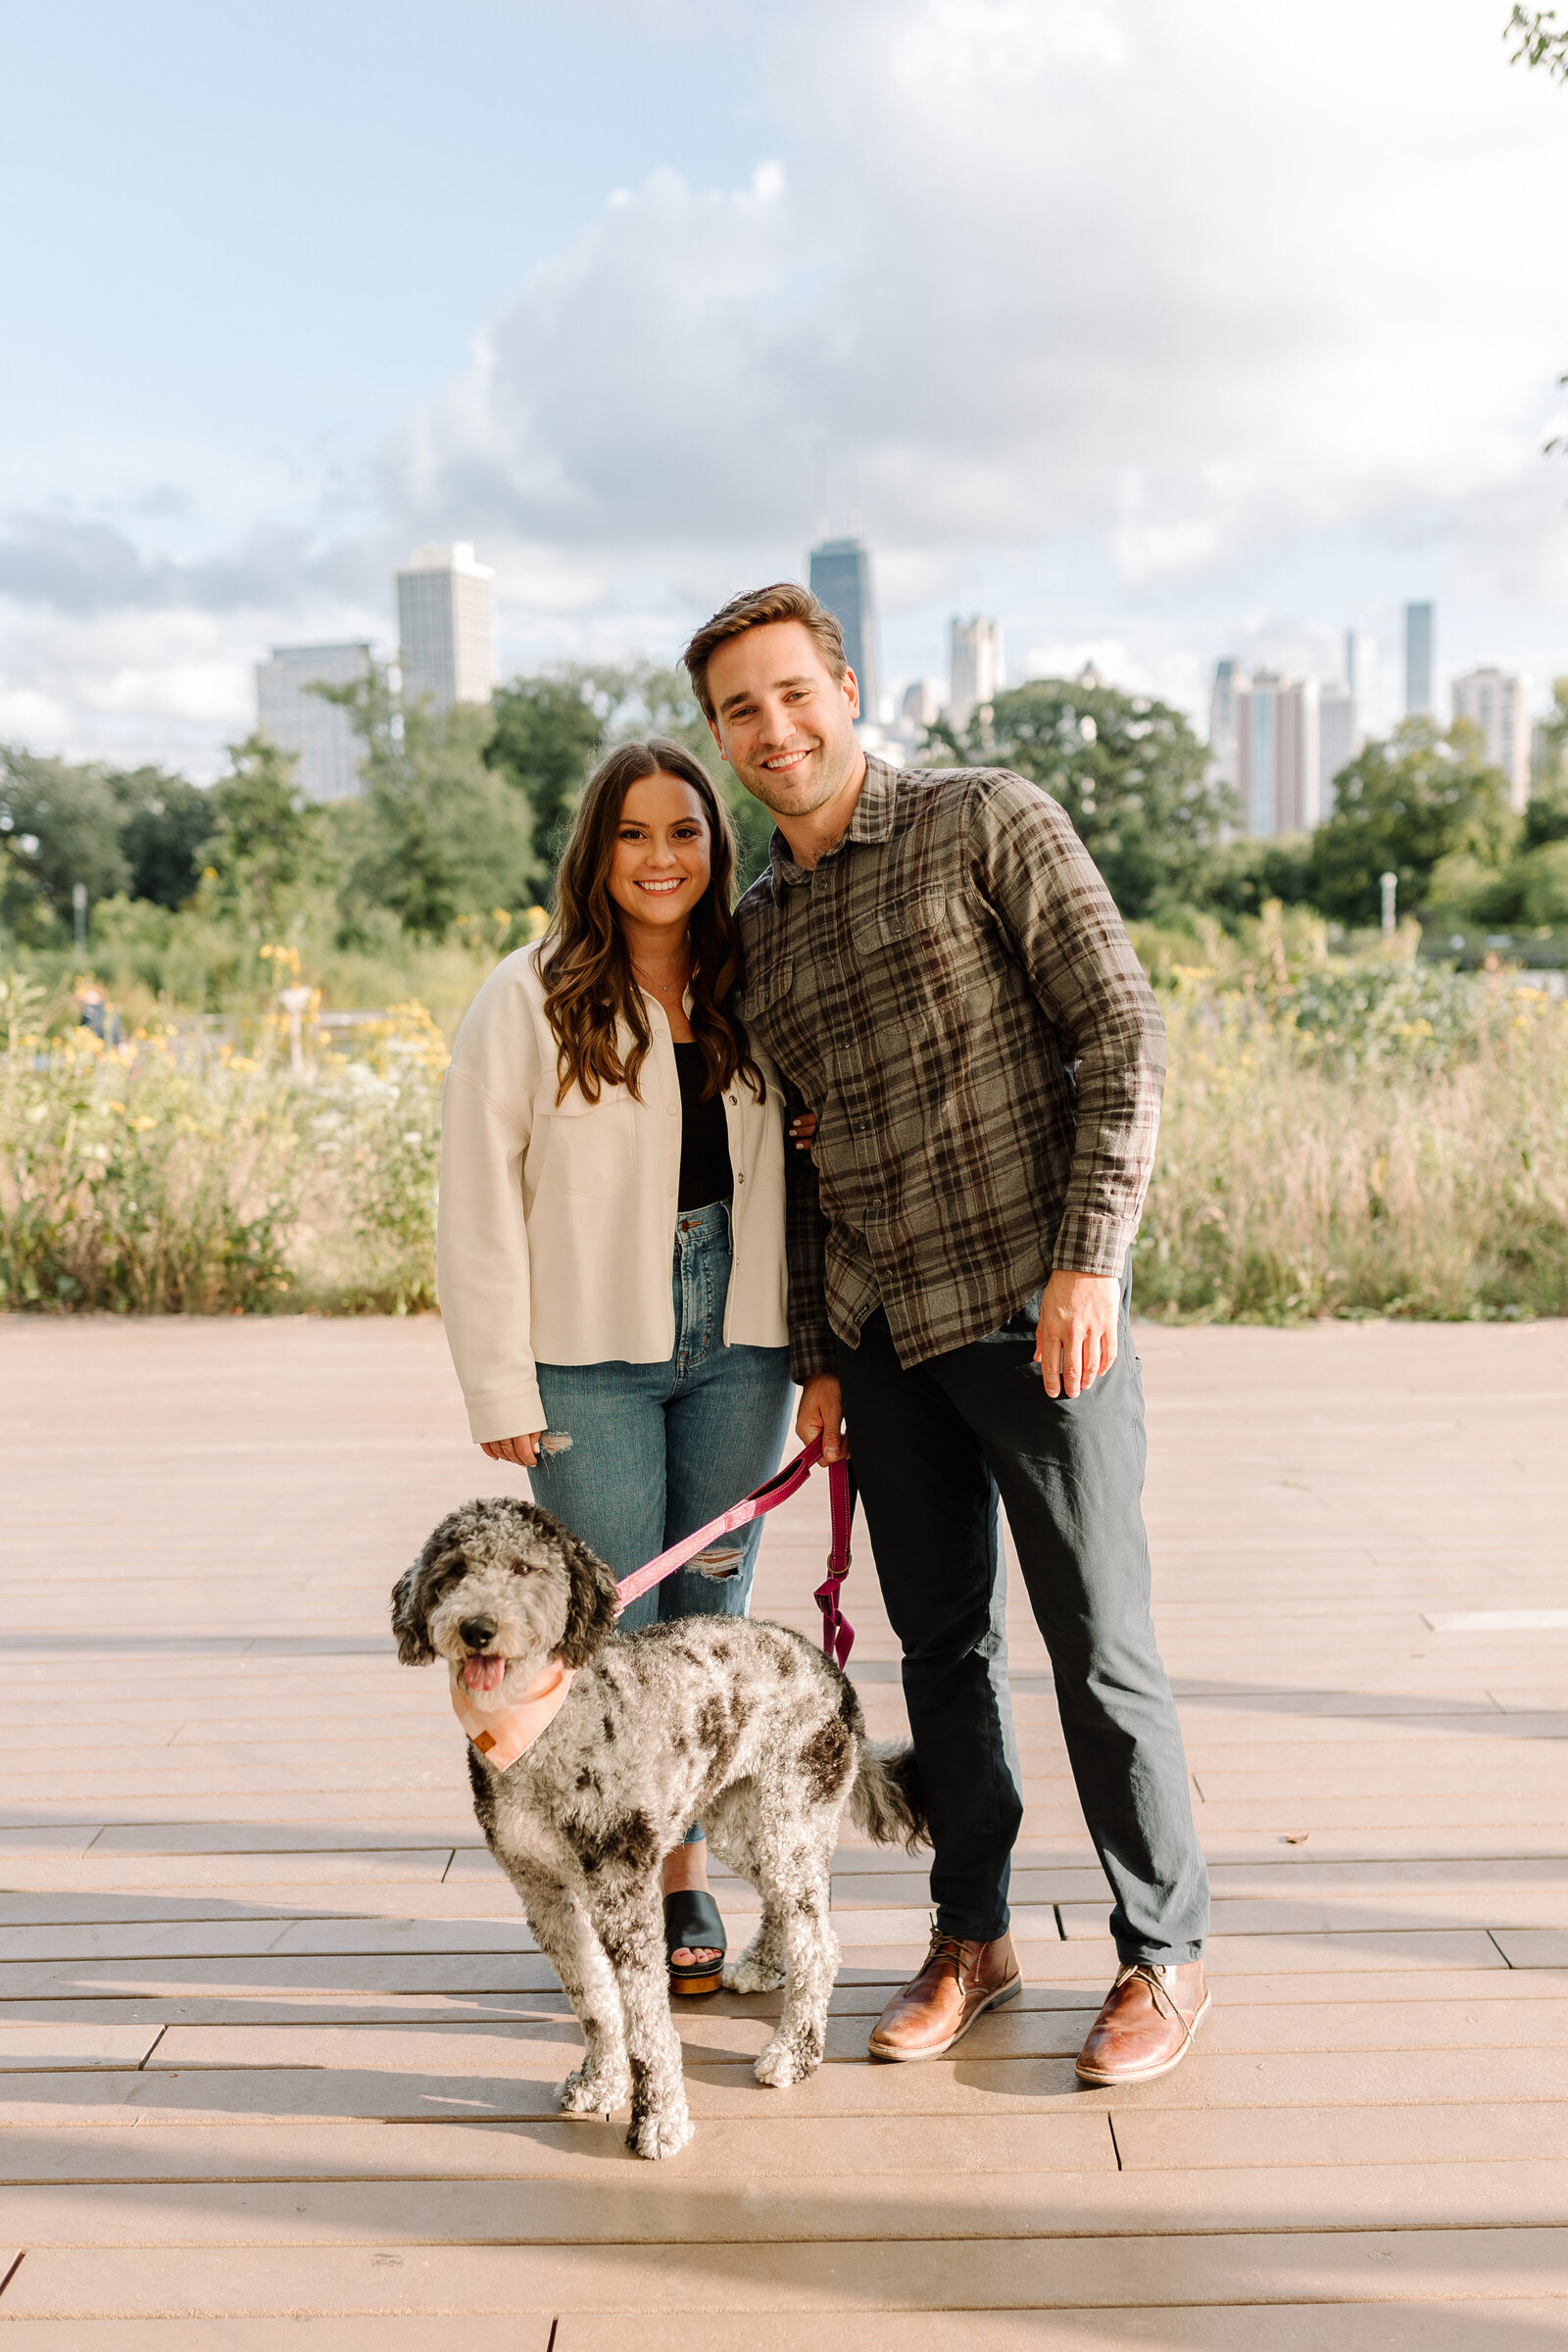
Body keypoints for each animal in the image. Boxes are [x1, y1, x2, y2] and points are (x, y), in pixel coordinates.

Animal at [394, 1495, 930, 2154]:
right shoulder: (541, 1889)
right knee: (796, 1902)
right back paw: (763, 1965)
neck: (538, 1729)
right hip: (744, 1824)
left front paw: (658, 2118)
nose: (477, 1629)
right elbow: (593, 2000)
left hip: (789, 1815)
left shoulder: (622, 1894)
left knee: (819, 1944)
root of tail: (830, 1668)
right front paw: (600, 2083)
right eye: (454, 1571)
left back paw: (793, 2052)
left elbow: (647, 2021)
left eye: (523, 1568)